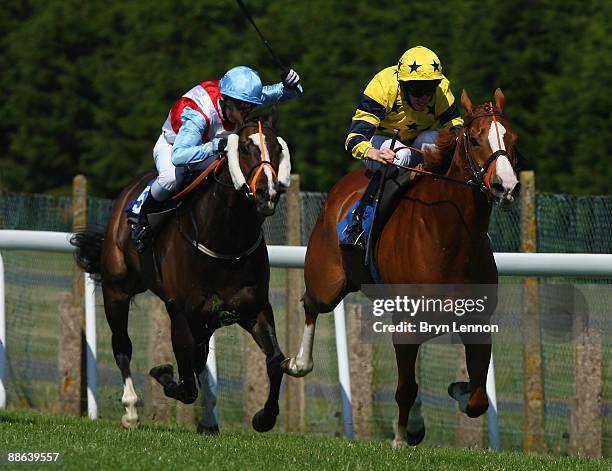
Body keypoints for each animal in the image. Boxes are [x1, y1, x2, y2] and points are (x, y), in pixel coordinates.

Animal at [71, 116, 292, 434]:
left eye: (277, 149)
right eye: (245, 148)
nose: (268, 193)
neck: (227, 240)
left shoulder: (254, 307)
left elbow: (275, 360)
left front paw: (264, 417)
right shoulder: (181, 312)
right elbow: (186, 386)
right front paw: (162, 372)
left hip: (207, 319)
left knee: (199, 359)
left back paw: (209, 420)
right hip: (117, 290)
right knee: (122, 345)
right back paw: (131, 410)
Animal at [284, 90, 520, 448]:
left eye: (513, 138)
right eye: (476, 139)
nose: (505, 186)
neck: (449, 236)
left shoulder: (476, 320)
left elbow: (478, 398)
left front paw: (458, 391)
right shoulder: (406, 322)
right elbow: (405, 388)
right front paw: (399, 438)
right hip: (327, 281)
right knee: (310, 304)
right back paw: (298, 363)